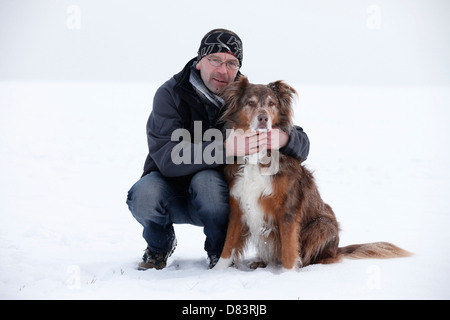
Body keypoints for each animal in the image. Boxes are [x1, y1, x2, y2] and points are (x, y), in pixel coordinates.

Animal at [214, 77, 412, 270]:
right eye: (250, 102)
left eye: (271, 104)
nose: (263, 118)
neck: (258, 152)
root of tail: (337, 248)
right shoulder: (238, 204)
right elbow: (227, 247)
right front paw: (218, 272)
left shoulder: (287, 209)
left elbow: (289, 251)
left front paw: (288, 274)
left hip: (322, 225)